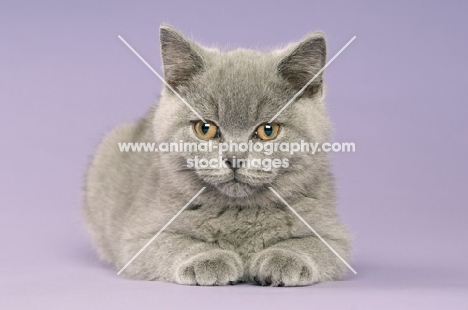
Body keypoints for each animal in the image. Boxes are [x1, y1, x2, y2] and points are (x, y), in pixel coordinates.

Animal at [82, 24, 352, 286]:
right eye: (205, 128)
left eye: (268, 130)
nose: (234, 158)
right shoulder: (138, 237)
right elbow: (173, 242)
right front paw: (209, 260)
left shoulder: (335, 236)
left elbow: (312, 244)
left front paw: (284, 259)